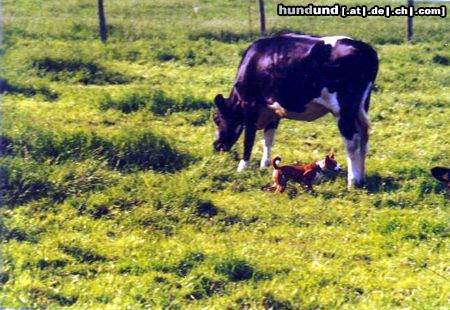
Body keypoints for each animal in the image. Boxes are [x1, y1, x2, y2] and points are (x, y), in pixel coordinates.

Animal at [213, 34, 378, 188]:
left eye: (217, 118)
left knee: (352, 142)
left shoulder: (250, 105)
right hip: (360, 107)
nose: (216, 146)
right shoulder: (273, 110)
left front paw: (242, 166)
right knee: (363, 138)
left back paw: (352, 181)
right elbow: (268, 139)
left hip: (343, 110)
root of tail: (362, 46)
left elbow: (249, 139)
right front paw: (265, 164)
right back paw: (361, 178)